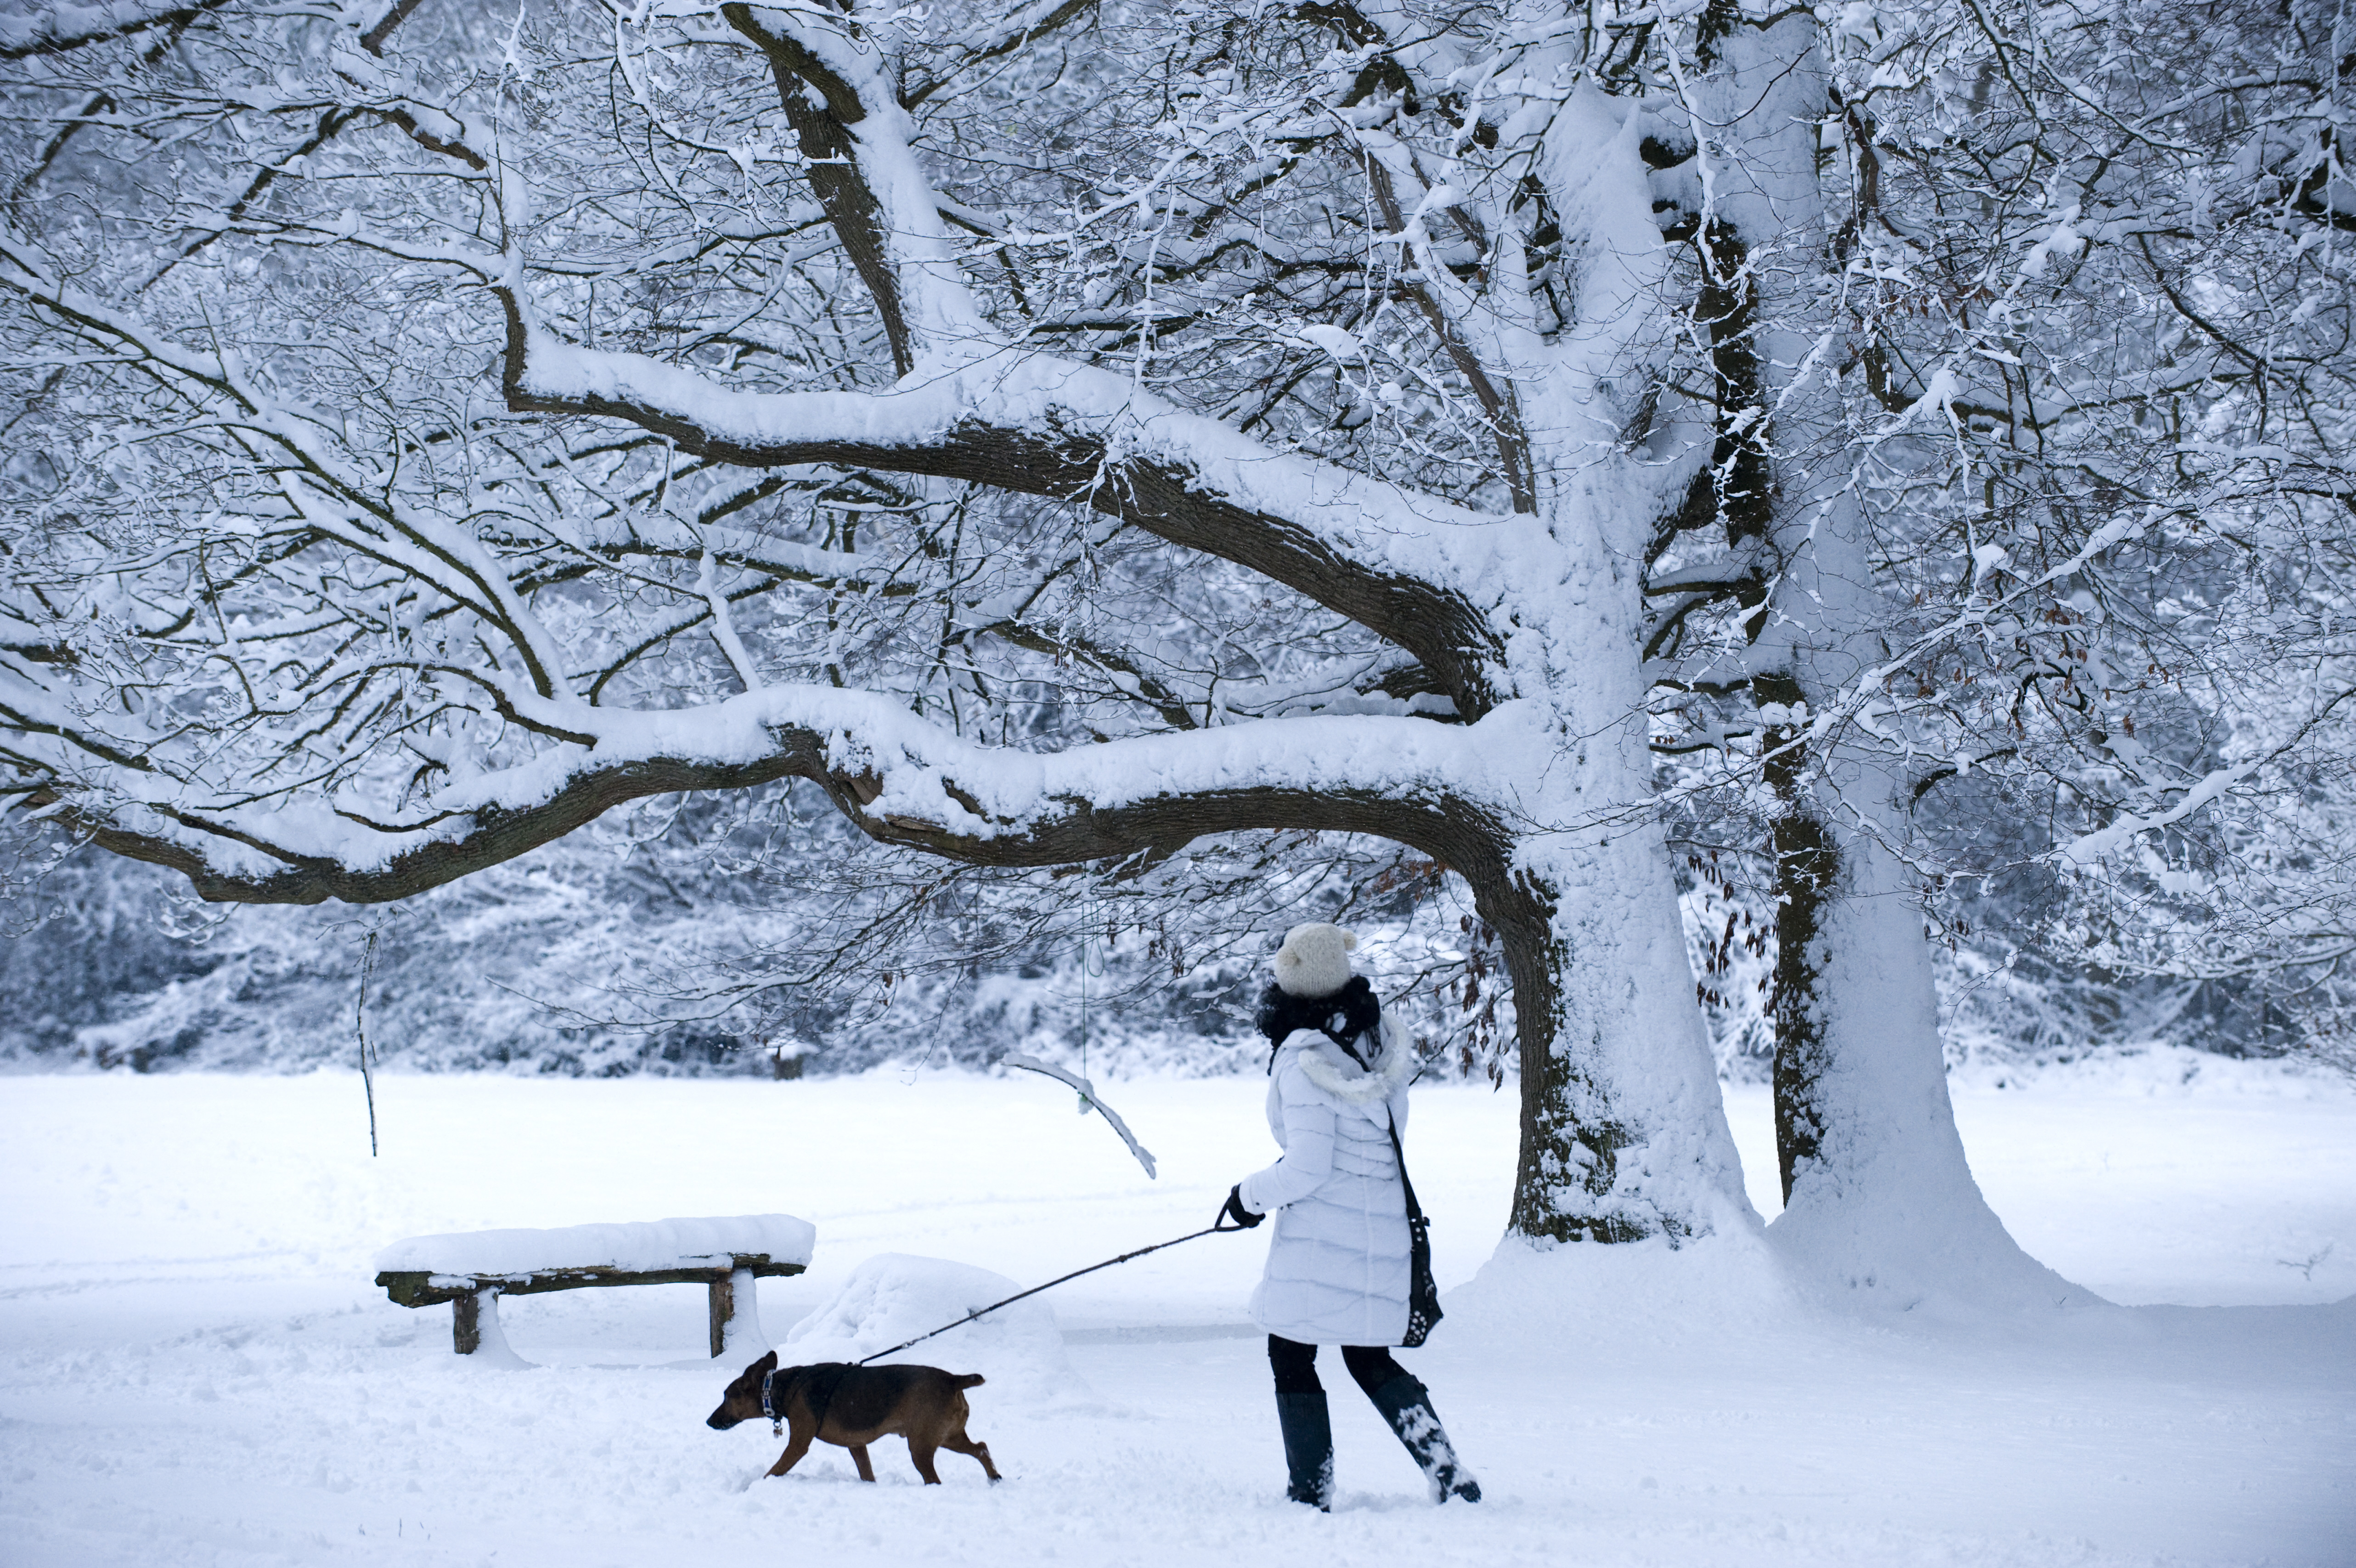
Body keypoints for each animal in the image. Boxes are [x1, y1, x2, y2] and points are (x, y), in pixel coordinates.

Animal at [697, 1348, 994, 1490]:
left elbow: (774, 1470)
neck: (780, 1388)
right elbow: (867, 1474)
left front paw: (755, 1487)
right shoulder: (856, 1445)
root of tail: (953, 1380)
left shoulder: (798, 1444)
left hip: (921, 1445)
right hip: (949, 1436)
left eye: (726, 1397)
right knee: (981, 1448)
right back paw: (995, 1479)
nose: (710, 1421)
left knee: (935, 1478)